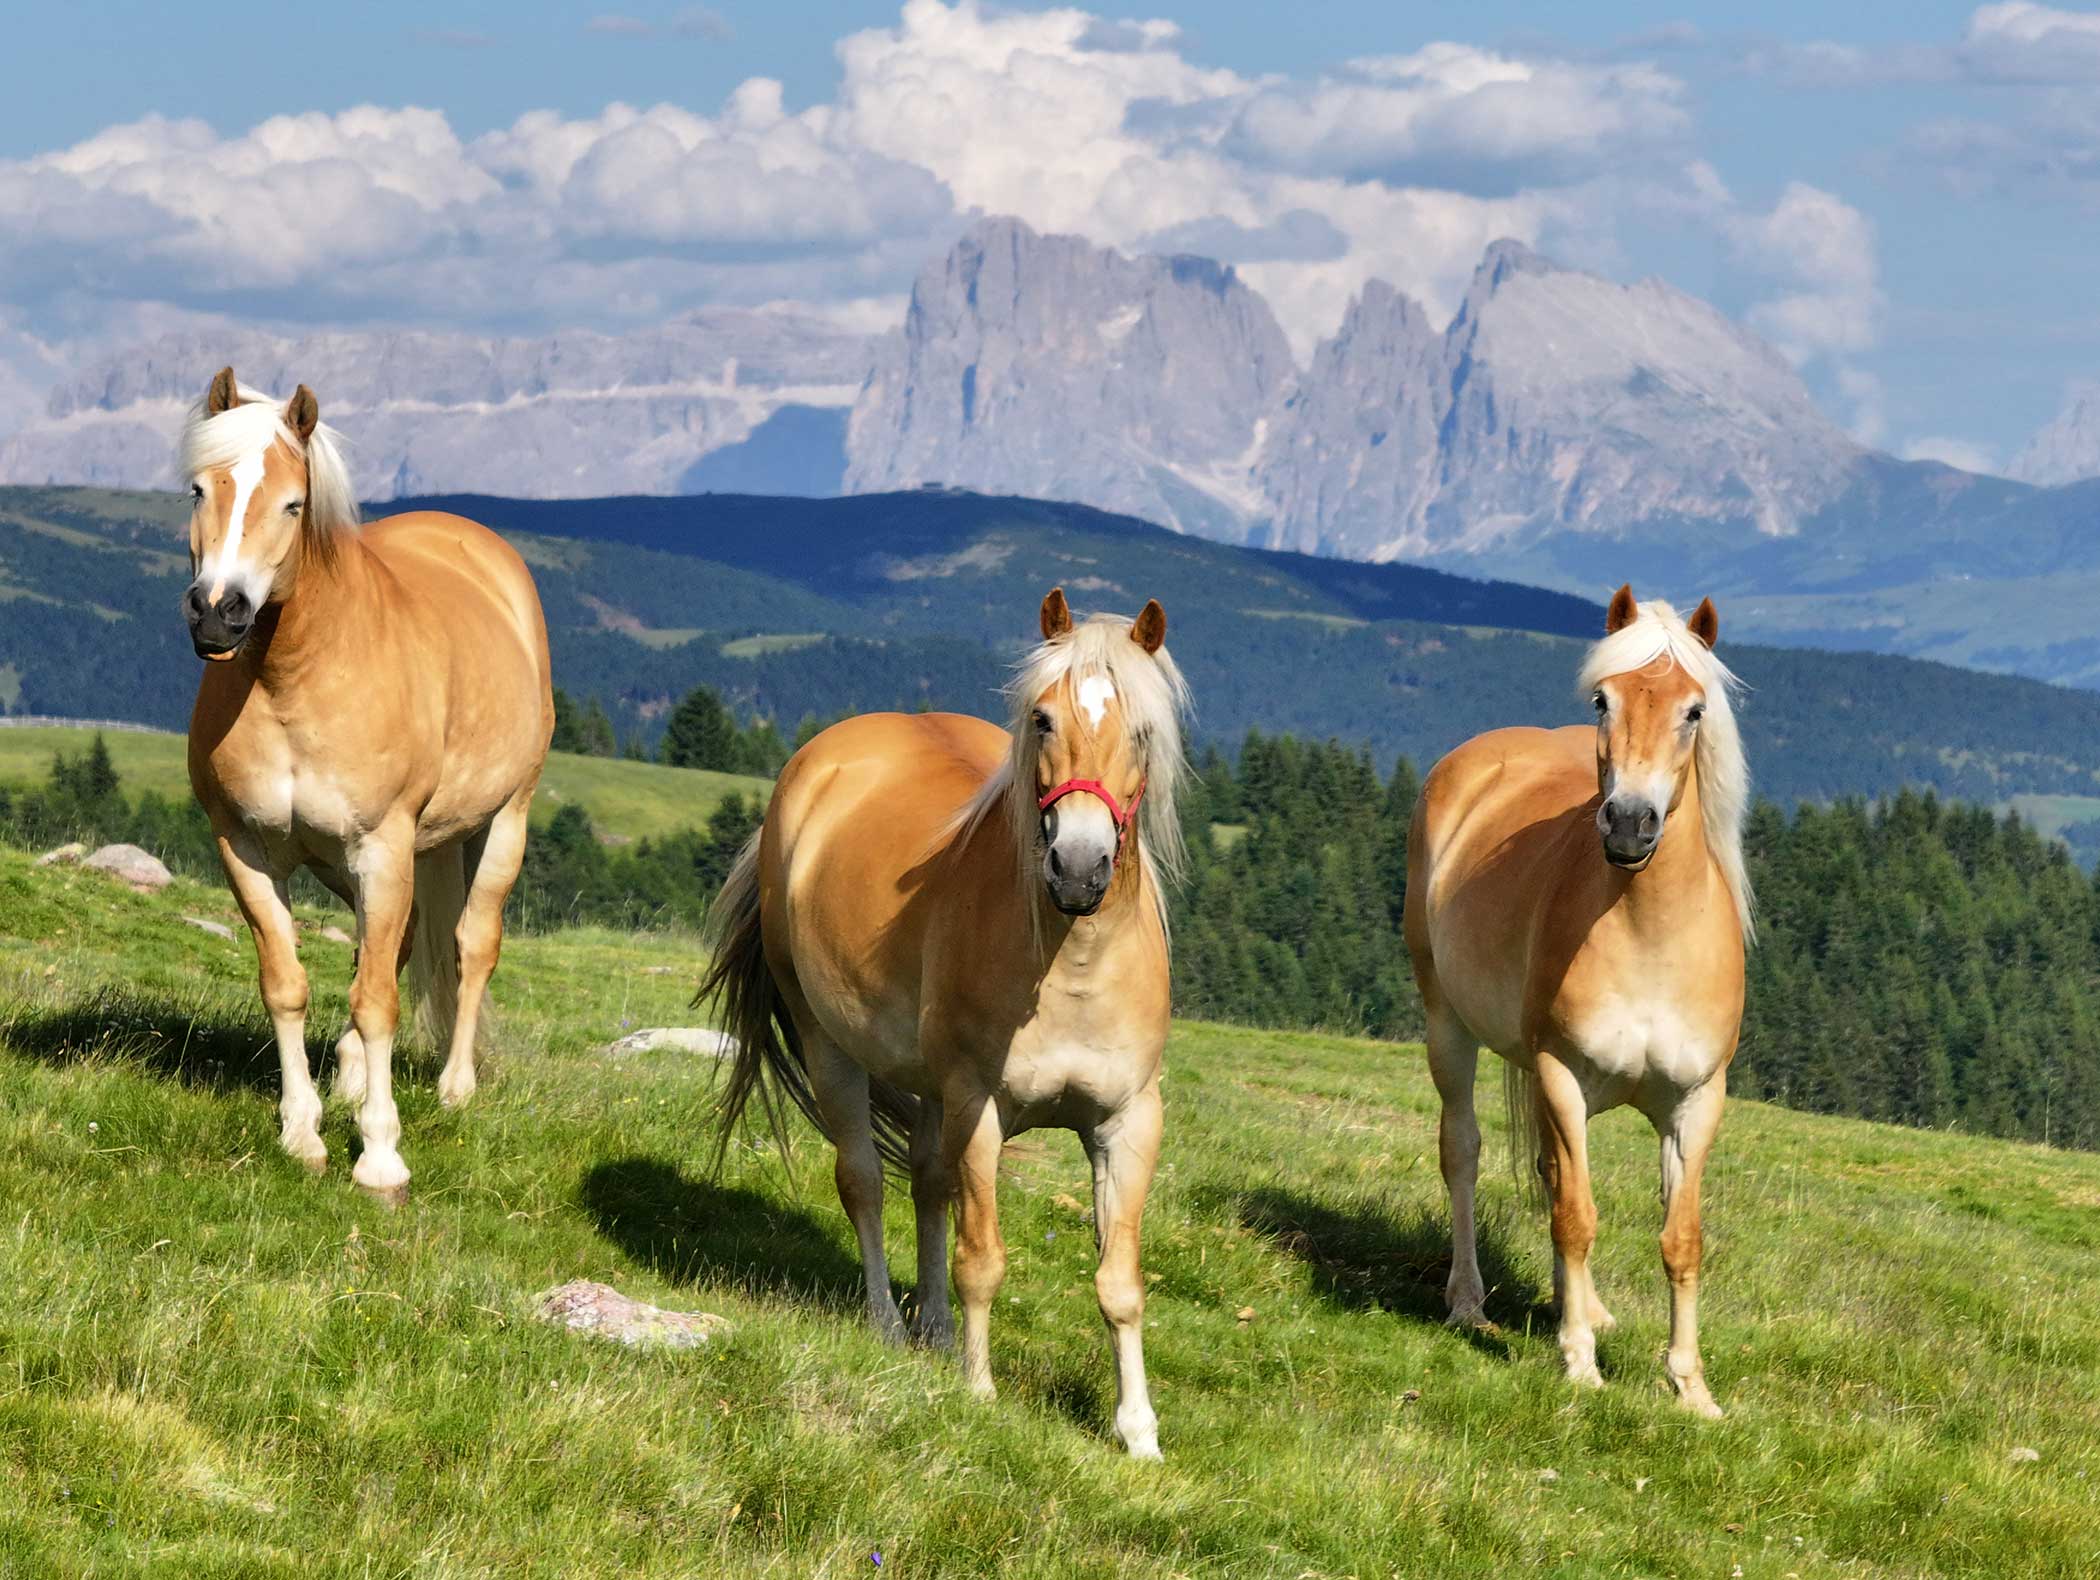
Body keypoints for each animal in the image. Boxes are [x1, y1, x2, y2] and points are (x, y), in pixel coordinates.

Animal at [179, 367, 553, 1204]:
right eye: (199, 489)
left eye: (293, 504)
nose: (219, 614)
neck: (294, 678)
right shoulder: (245, 850)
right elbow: (288, 986)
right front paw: (303, 1135)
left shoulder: (381, 846)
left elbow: (380, 999)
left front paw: (380, 1156)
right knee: (388, 948)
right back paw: (350, 1079)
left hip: (499, 826)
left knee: (470, 946)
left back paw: (454, 1087)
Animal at [698, 589, 1190, 1458]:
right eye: (1042, 719)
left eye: (1142, 730)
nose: (1079, 868)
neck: (1071, 963)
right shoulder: (979, 1108)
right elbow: (981, 1259)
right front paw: (980, 1391)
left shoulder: (1128, 1122)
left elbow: (1120, 1283)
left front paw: (1138, 1434)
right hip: (833, 1048)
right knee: (863, 1181)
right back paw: (890, 1328)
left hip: (929, 1086)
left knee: (928, 1184)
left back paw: (930, 1331)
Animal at [1404, 586, 1752, 1417]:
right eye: (1604, 699)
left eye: (1694, 710)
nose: (1628, 822)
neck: (1649, 931)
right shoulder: (1561, 1075)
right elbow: (1577, 1217)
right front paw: (1580, 1364)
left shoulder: (1698, 1100)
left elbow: (1679, 1236)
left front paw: (1691, 1388)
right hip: (1448, 1028)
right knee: (1464, 1152)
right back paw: (1470, 1303)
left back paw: (1584, 1308)